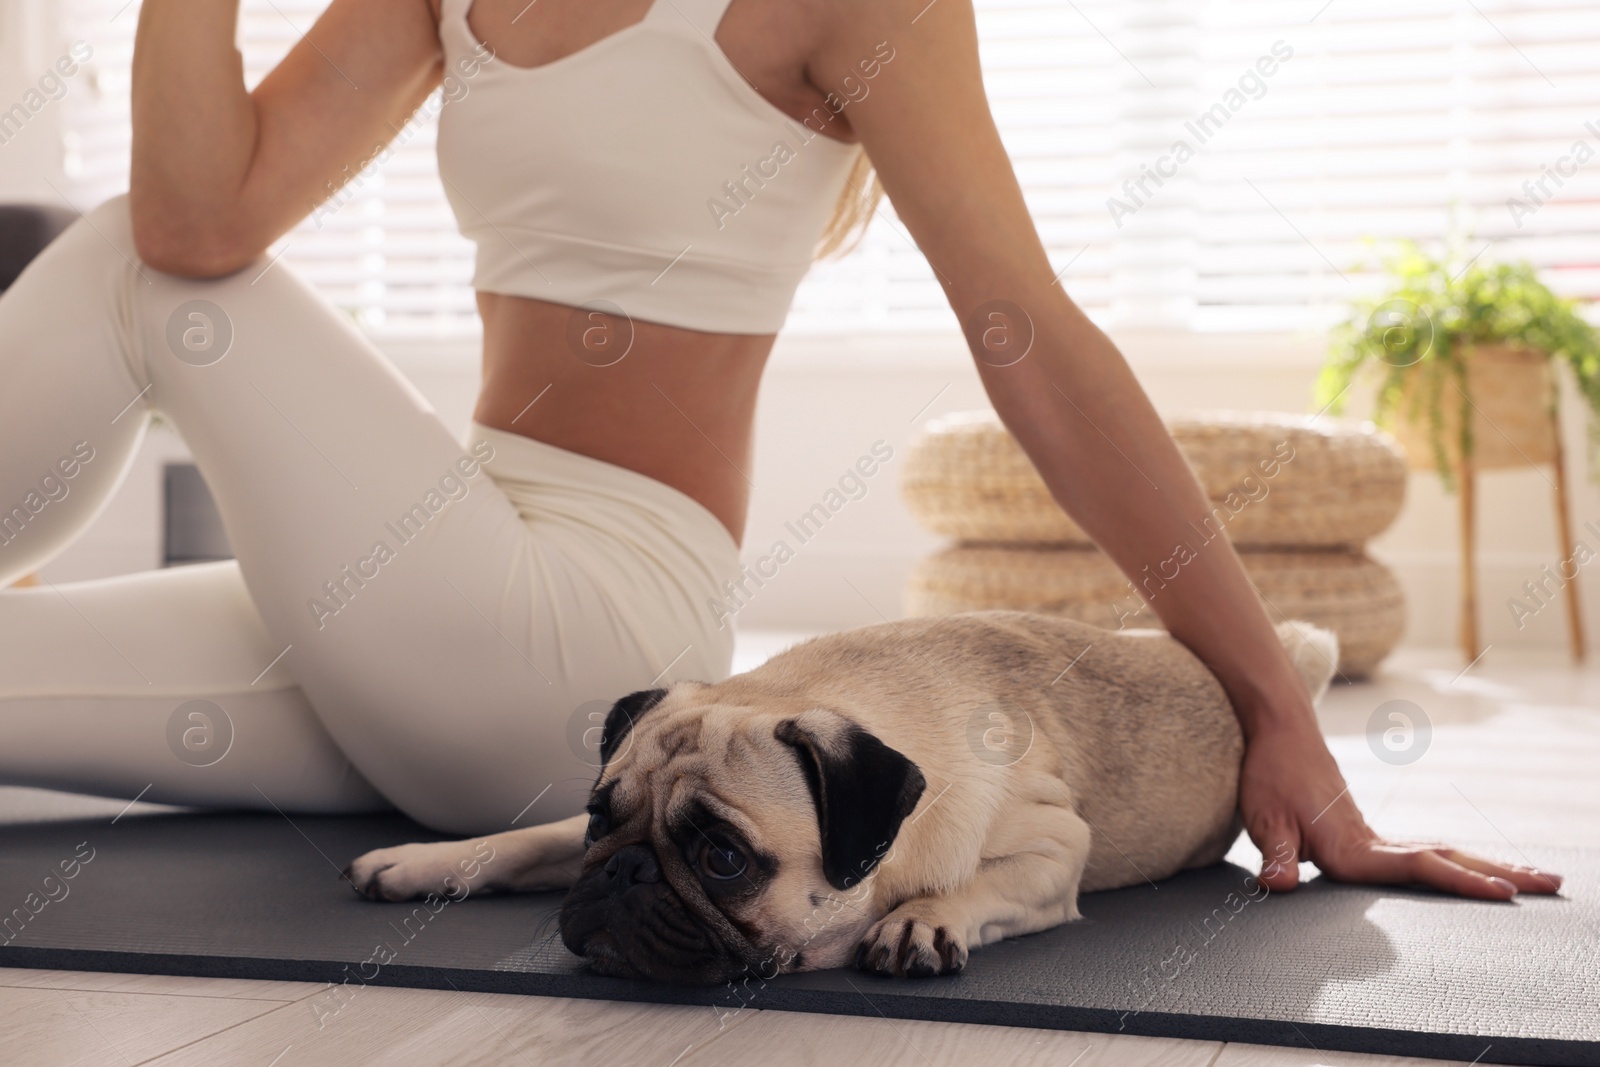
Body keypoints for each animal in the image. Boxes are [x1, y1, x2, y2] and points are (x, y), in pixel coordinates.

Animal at [350, 607, 1337, 985]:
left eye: (722, 858)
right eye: (603, 817)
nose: (625, 874)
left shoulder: (1057, 847)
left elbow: (974, 882)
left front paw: (921, 920)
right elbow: (527, 838)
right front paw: (425, 860)